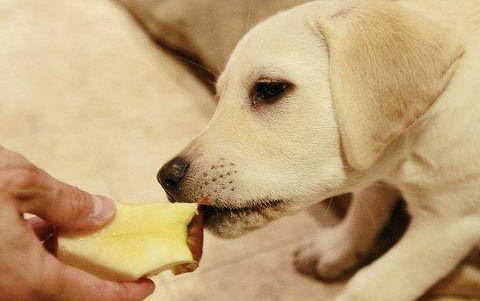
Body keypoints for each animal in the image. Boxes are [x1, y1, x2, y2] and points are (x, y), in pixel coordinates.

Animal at [158, 1, 480, 298]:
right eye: (219, 96)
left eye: (270, 88)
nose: (165, 178)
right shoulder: (377, 167)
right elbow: (367, 202)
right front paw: (335, 248)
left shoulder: (447, 224)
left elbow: (369, 285)